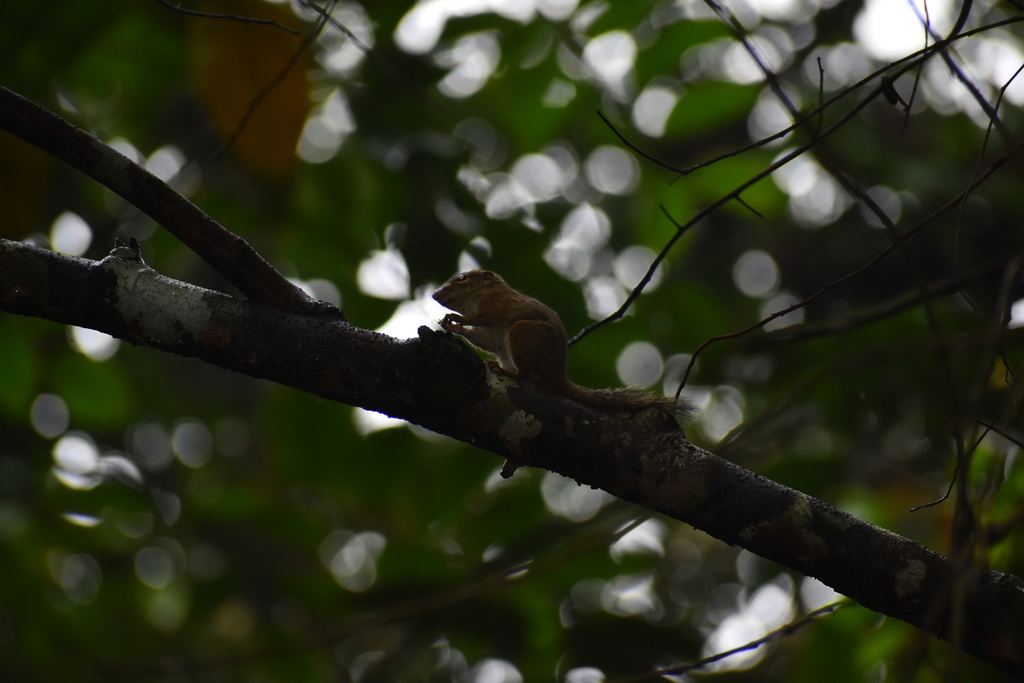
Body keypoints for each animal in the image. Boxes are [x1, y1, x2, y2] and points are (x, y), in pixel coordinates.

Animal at [433, 270, 686, 424]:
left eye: (462, 278)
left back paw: (505, 371)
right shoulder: (490, 337)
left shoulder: (497, 304)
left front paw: (457, 318)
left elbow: (485, 317)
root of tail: (556, 373)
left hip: (523, 333)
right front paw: (454, 326)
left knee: (526, 376)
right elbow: (484, 340)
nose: (434, 295)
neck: (476, 298)